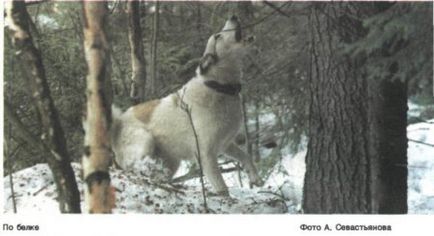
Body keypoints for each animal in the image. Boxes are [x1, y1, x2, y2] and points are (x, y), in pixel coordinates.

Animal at [110, 15, 262, 195]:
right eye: (218, 36)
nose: (233, 16)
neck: (217, 87)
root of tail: (117, 123)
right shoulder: (206, 155)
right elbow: (221, 187)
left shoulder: (226, 144)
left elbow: (246, 156)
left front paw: (255, 177)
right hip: (145, 141)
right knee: (136, 169)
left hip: (171, 162)